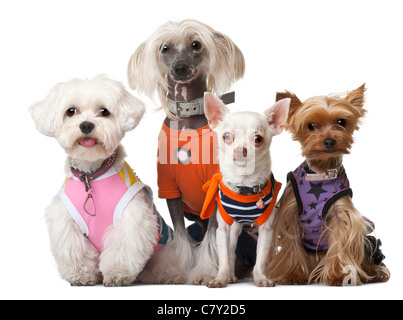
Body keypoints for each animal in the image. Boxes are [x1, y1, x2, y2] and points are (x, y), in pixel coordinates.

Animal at [30, 76, 185, 286]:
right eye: (71, 111)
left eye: (104, 111)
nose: (86, 125)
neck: (91, 175)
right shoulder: (66, 220)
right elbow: (75, 250)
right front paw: (80, 275)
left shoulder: (132, 218)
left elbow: (122, 248)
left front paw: (118, 274)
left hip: (165, 253)